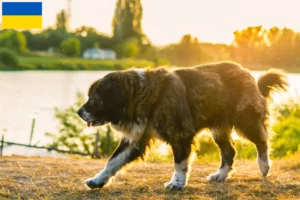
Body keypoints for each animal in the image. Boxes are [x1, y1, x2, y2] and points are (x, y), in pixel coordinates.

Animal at [76, 61, 288, 190]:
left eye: (93, 100)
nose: (79, 112)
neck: (142, 95)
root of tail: (248, 74)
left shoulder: (180, 135)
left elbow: (179, 162)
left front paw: (177, 183)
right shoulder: (135, 140)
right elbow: (112, 161)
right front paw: (97, 180)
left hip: (245, 121)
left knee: (262, 141)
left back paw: (264, 166)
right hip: (218, 129)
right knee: (229, 152)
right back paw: (220, 175)